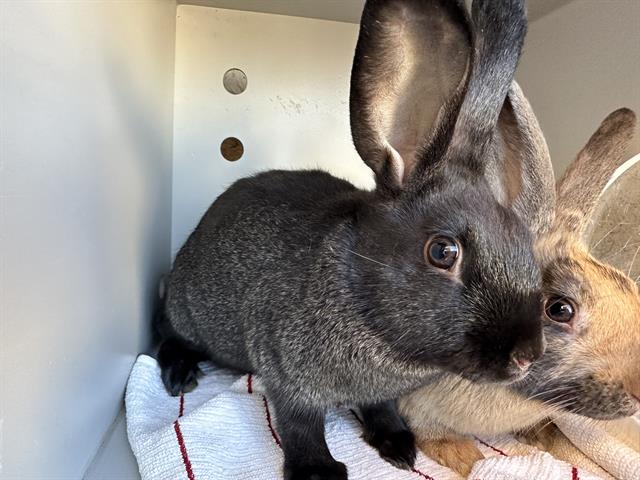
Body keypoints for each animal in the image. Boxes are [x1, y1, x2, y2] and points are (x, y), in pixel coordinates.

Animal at [155, 0, 552, 480]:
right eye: (443, 252)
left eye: (525, 247)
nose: (527, 356)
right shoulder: (286, 372)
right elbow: (300, 423)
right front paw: (317, 472)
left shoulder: (377, 392)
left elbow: (380, 407)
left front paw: (399, 445)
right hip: (189, 309)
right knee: (169, 331)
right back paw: (179, 373)